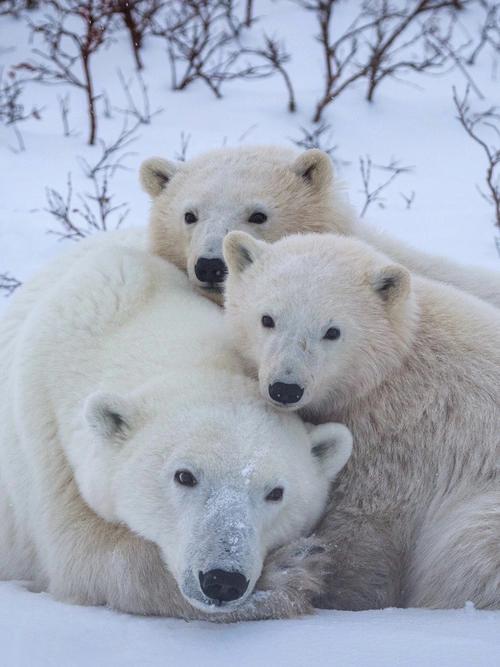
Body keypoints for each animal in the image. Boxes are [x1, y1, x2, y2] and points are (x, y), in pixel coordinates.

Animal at [0, 234, 352, 620]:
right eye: (184, 476)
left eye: (276, 492)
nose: (222, 580)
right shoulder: (49, 443)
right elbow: (82, 555)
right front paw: (293, 570)